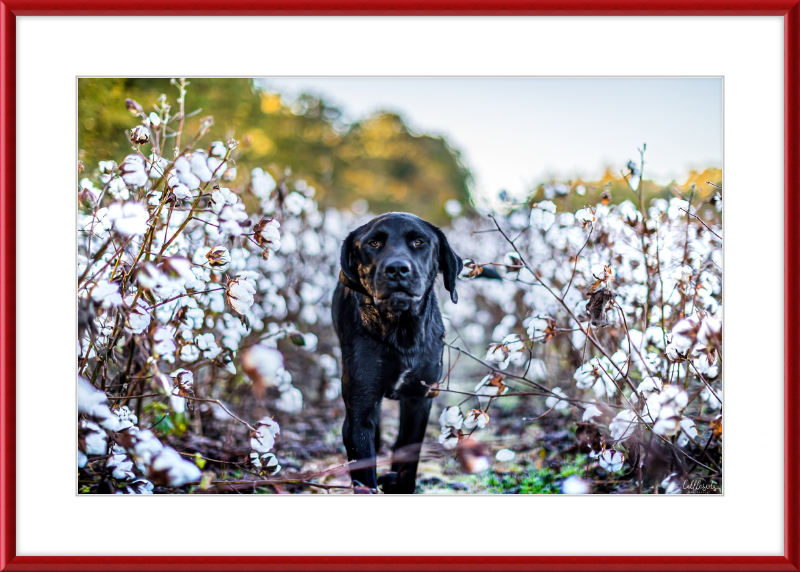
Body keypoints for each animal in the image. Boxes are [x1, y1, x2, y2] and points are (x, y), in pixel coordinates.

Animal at [332, 212, 462, 494]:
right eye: (373, 243)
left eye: (418, 242)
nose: (397, 269)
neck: (402, 331)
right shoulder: (360, 411)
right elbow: (364, 474)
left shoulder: (419, 398)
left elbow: (409, 458)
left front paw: (397, 482)